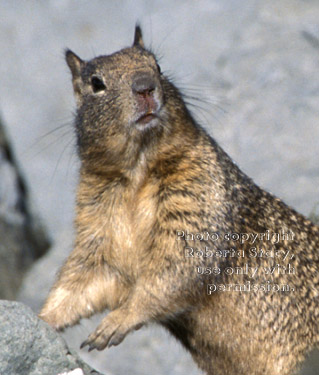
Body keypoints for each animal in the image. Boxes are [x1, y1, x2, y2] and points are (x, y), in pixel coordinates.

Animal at [40, 27, 319, 375]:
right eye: (96, 83)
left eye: (157, 66)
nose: (145, 86)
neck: (138, 174)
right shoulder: (97, 229)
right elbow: (82, 279)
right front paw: (42, 317)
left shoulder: (200, 199)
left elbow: (177, 267)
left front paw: (114, 323)